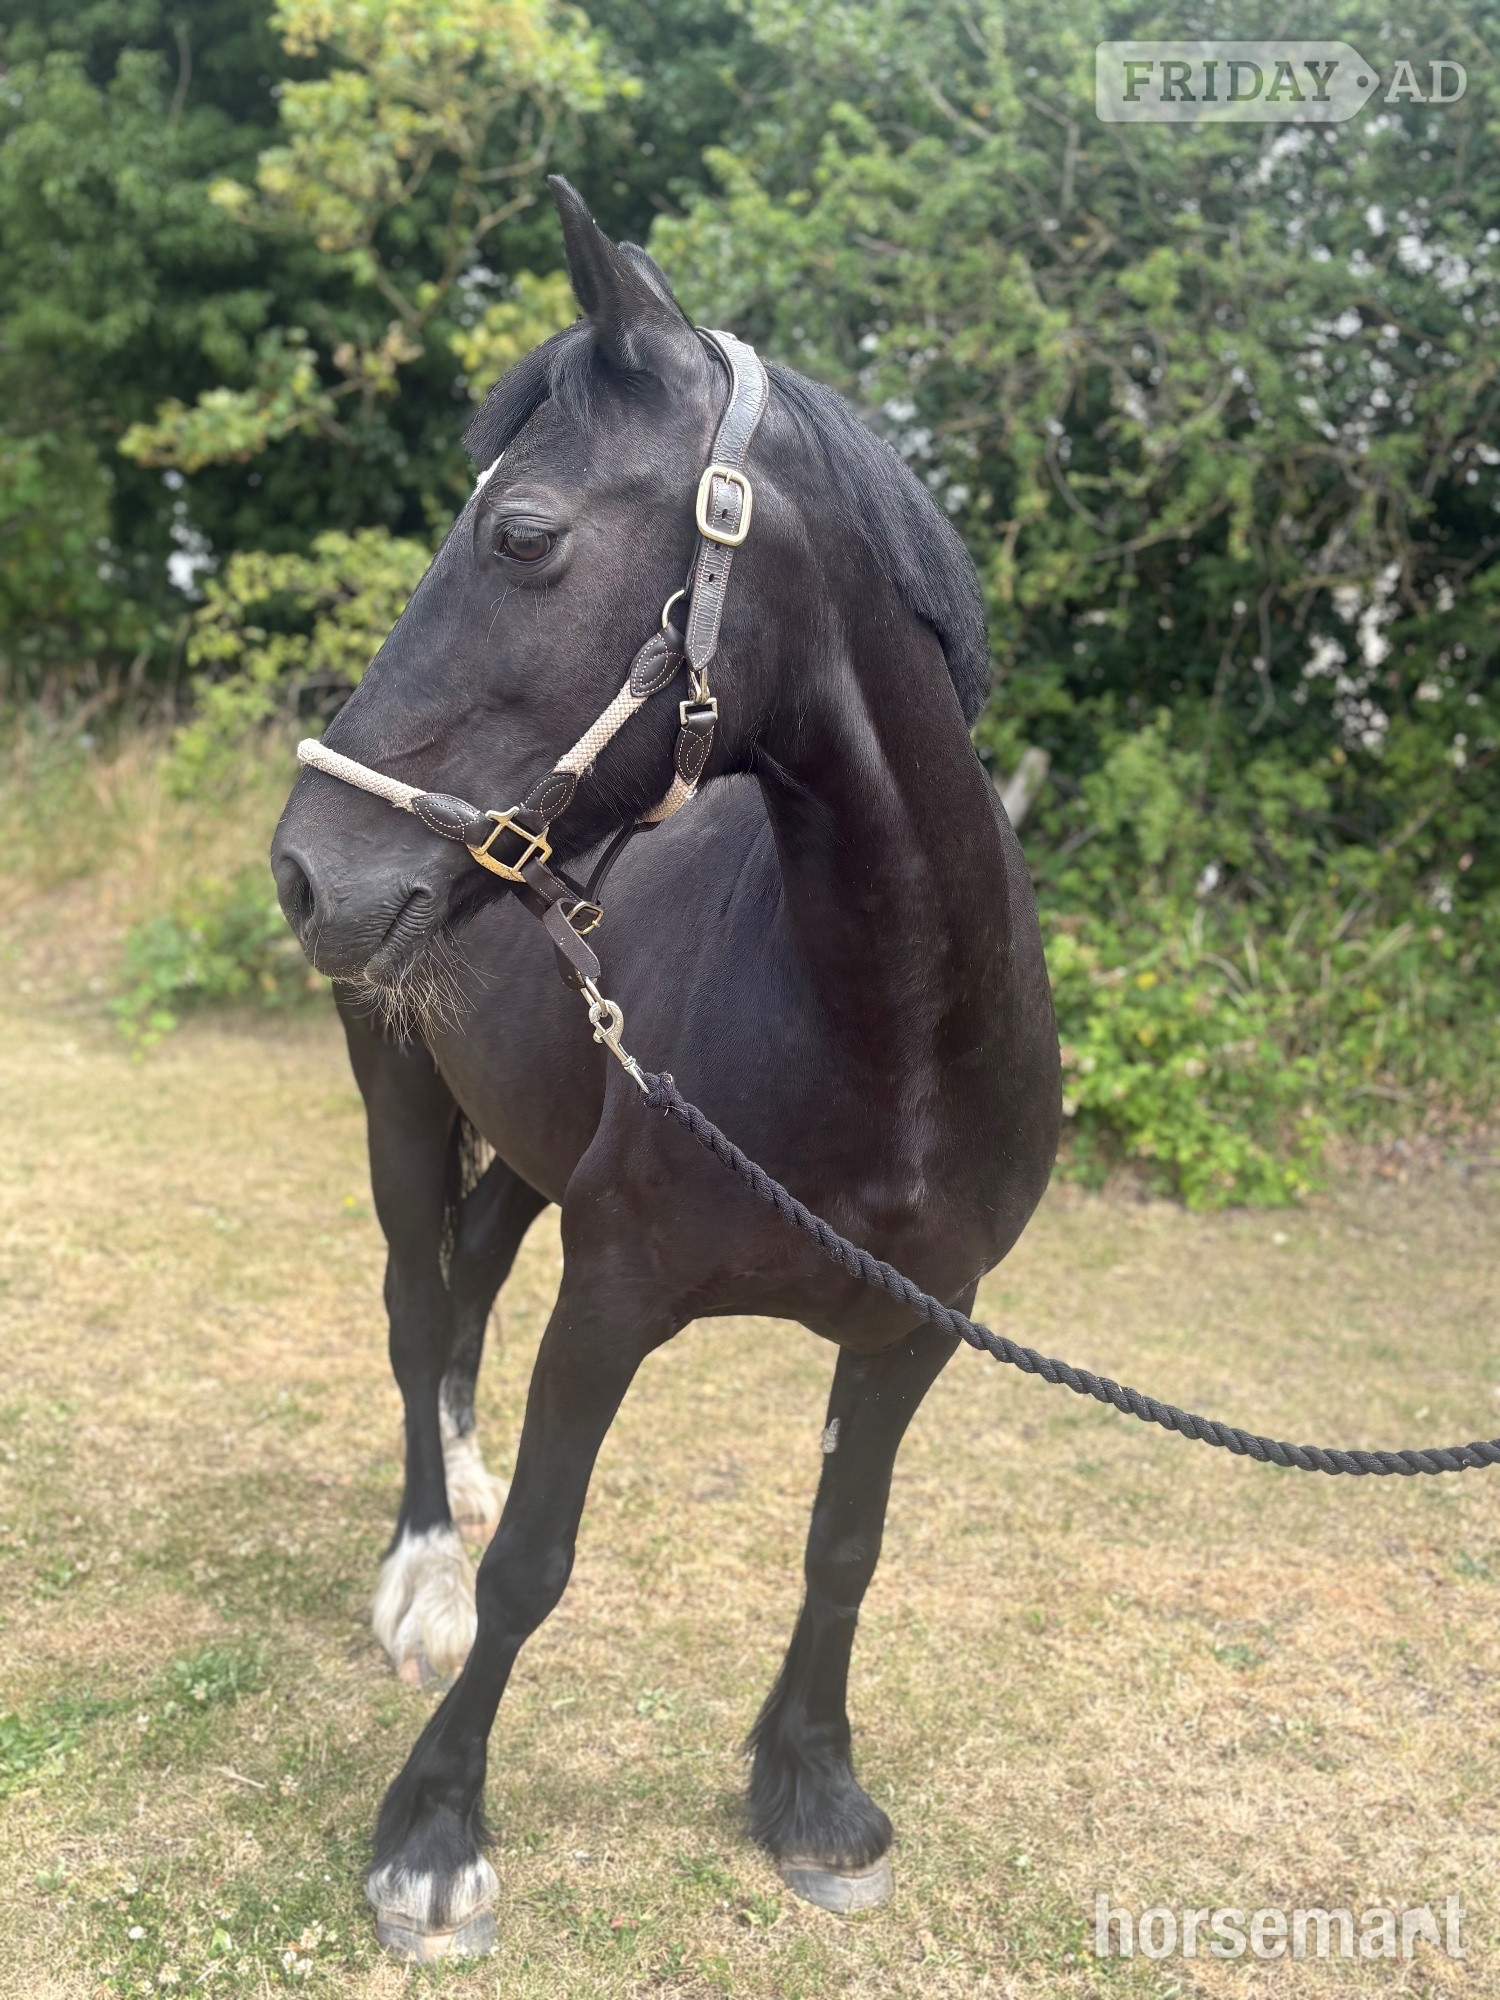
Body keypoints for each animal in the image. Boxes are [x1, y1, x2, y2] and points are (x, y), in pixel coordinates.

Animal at [270, 175, 1061, 1959]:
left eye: (523, 533)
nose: (306, 867)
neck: (884, 1043)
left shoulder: (922, 1326)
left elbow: (848, 1546)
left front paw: (812, 1792)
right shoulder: (616, 1289)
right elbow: (536, 1566)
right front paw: (433, 1836)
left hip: (523, 1142)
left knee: (463, 1294)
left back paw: (457, 1479)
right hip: (402, 1102)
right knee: (413, 1303)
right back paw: (420, 1562)